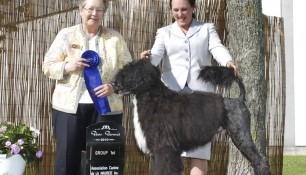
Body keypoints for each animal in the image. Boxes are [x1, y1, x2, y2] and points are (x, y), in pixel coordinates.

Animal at [112, 59, 270, 175]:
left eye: (131, 72)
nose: (113, 83)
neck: (156, 99)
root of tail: (240, 100)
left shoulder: (164, 149)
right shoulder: (159, 152)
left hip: (241, 134)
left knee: (261, 160)